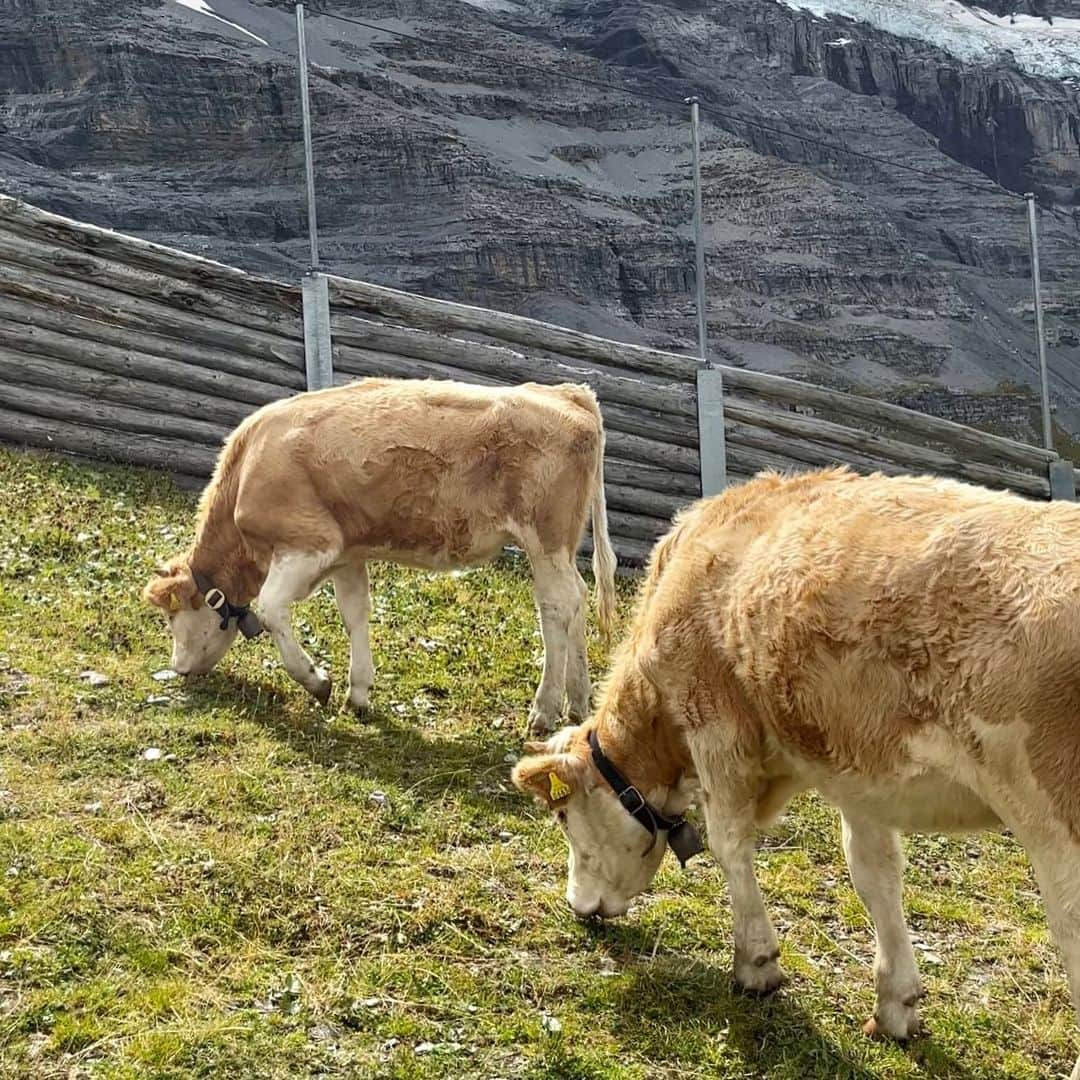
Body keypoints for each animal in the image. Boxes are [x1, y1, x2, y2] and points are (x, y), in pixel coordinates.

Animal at [143, 373, 617, 734]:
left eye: (171, 617)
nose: (178, 668)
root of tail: (568, 392)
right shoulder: (347, 555)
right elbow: (355, 613)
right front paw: (358, 693)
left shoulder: (308, 544)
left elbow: (273, 609)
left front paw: (317, 681)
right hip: (561, 547)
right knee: (577, 600)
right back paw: (577, 702)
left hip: (544, 540)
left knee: (557, 607)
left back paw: (545, 709)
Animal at [511, 468, 1080, 1075]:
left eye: (564, 817)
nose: (579, 905)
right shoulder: (858, 768)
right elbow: (873, 872)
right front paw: (895, 1004)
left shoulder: (714, 724)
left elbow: (728, 843)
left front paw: (756, 965)